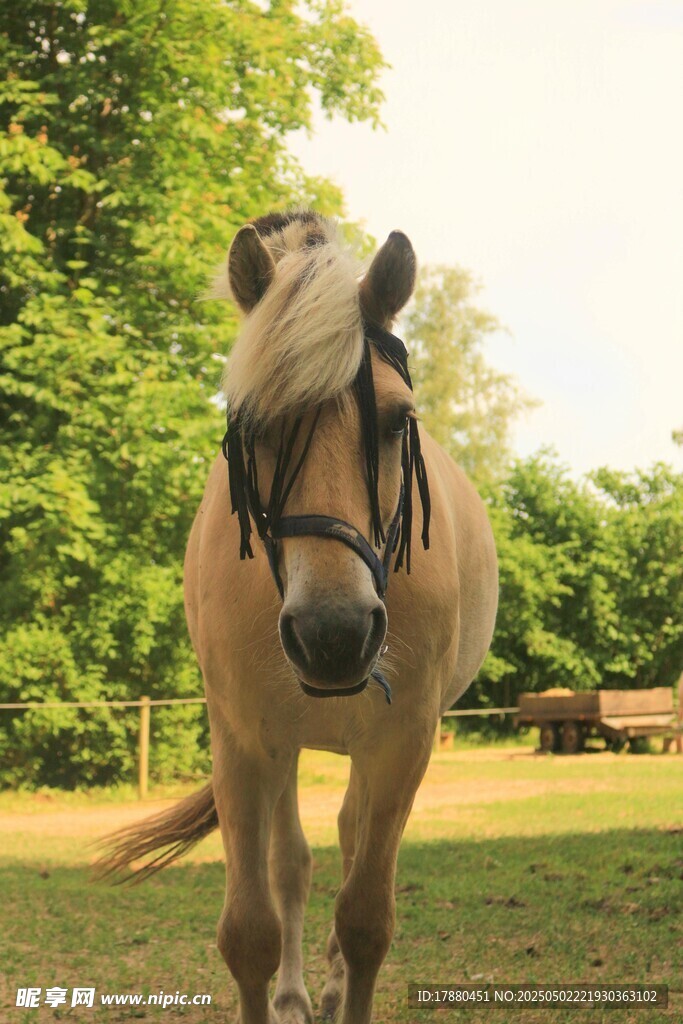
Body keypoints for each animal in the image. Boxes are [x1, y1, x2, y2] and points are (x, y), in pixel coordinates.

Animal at [99, 210, 499, 1024]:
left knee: (346, 844)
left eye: (398, 421)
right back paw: (293, 993)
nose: (333, 636)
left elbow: (366, 917)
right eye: (251, 427)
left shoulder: (402, 743)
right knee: (295, 862)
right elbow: (251, 926)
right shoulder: (245, 743)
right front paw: (278, 985)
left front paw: (349, 980)